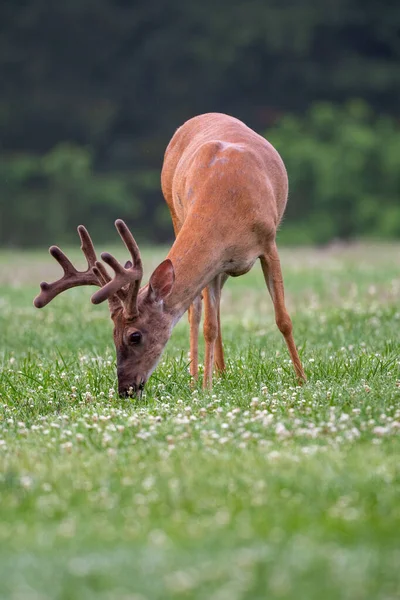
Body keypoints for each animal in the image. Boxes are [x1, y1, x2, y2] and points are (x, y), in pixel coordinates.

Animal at [36, 112, 308, 396]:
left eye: (134, 336)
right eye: (113, 334)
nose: (125, 389)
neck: (229, 205)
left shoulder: (268, 244)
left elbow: (283, 318)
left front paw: (302, 379)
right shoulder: (215, 262)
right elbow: (209, 326)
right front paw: (206, 386)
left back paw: (220, 373)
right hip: (175, 214)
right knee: (198, 312)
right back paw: (199, 378)